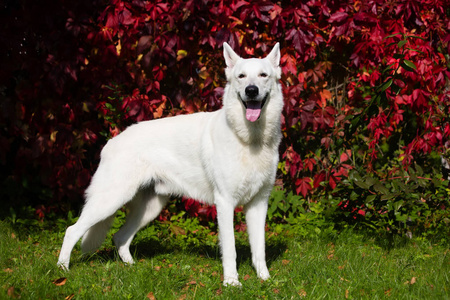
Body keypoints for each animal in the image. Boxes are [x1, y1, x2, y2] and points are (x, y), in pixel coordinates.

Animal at [56, 41, 282, 286]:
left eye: (263, 75)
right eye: (241, 76)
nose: (251, 90)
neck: (250, 139)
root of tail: (111, 142)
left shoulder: (258, 204)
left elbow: (259, 249)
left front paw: (266, 279)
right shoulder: (225, 203)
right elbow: (230, 249)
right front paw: (231, 283)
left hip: (149, 209)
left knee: (120, 237)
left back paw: (132, 268)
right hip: (109, 201)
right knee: (71, 231)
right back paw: (62, 271)